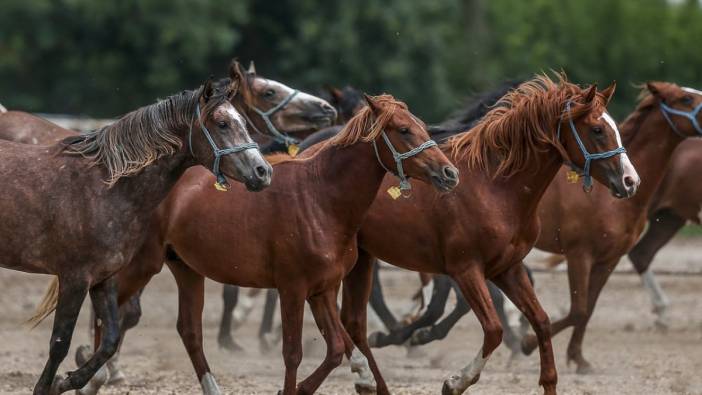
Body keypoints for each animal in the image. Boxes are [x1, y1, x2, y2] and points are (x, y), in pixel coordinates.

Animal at [81, 94, 456, 394]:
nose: (449, 173)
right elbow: (293, 353)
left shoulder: (322, 289)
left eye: (422, 126)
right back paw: (91, 374)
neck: (320, 198)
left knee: (189, 332)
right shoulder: (292, 288)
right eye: (403, 130)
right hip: (143, 265)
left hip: (186, 269)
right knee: (107, 309)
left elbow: (336, 347)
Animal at [336, 76, 640, 395]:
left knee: (352, 323)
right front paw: (455, 382)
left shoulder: (507, 268)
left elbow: (541, 321)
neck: (493, 187)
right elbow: (494, 329)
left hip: (361, 260)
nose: (631, 181)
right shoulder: (466, 270)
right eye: (597, 129)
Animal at [528, 81, 702, 374]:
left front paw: (578, 358)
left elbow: (587, 310)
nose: (631, 182)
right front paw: (526, 343)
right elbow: (577, 310)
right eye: (686, 99)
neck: (603, 196)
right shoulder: (579, 255)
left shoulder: (608, 259)